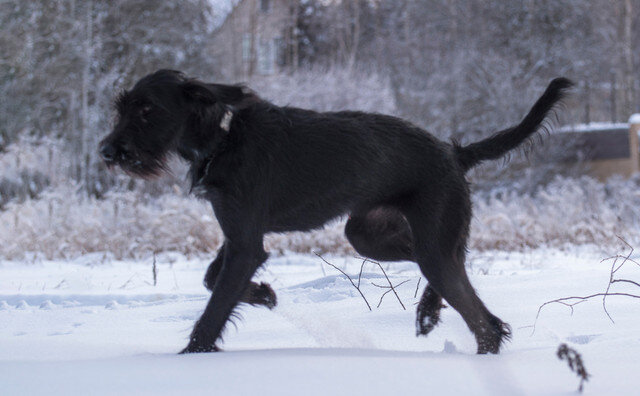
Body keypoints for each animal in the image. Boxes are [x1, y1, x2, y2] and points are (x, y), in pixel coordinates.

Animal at [101, 69, 576, 354]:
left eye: (147, 109)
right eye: (121, 108)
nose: (108, 151)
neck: (223, 137)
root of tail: (454, 152)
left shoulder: (245, 244)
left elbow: (214, 307)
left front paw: (190, 358)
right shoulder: (240, 237)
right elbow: (211, 279)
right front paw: (264, 294)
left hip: (430, 242)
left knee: (485, 323)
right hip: (371, 235)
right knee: (461, 281)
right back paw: (428, 313)